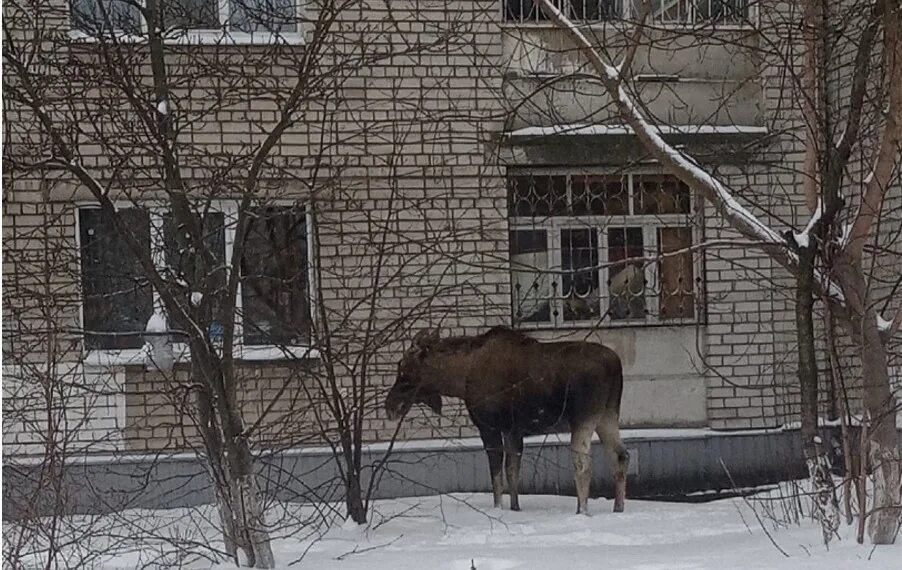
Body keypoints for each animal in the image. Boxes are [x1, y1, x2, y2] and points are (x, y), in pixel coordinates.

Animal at [386, 326, 628, 512]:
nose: (390, 406)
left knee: (583, 464)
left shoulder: (489, 427)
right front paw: (515, 508)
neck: (459, 379)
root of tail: (615, 365)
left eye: (405, 369)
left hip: (583, 418)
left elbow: (496, 475)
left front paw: (498, 509)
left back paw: (582, 511)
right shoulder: (513, 430)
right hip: (608, 415)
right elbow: (513, 471)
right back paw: (618, 508)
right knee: (620, 456)